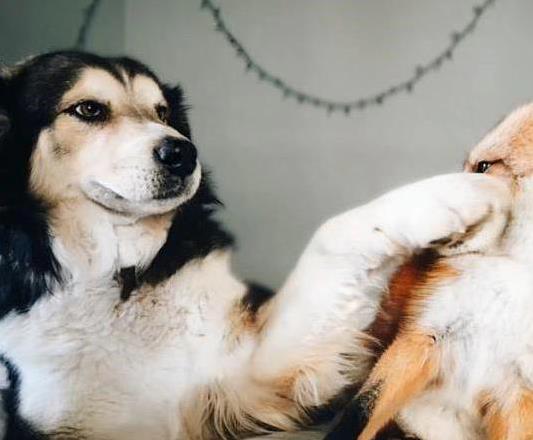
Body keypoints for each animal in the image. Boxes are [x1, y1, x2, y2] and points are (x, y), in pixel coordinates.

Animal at [0, 51, 511, 440]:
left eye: (162, 112)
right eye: (88, 110)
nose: (183, 153)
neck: (124, 278)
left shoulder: (250, 379)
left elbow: (335, 234)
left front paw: (457, 192)